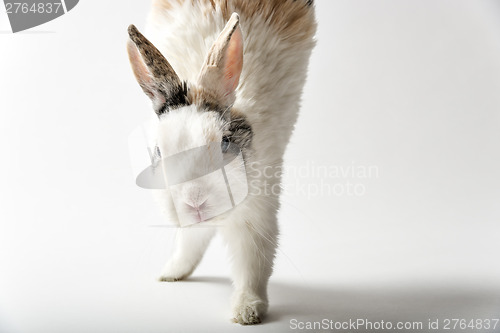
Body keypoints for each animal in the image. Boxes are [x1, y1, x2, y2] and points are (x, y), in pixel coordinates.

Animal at [127, 0, 318, 322]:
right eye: (159, 153)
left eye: (225, 142)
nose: (195, 202)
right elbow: (189, 243)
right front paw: (171, 273)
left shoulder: (258, 213)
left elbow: (253, 263)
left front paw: (247, 311)